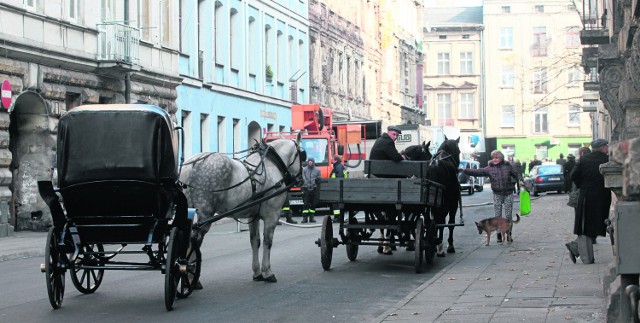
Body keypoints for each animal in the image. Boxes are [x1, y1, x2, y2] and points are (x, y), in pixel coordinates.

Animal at [178, 134, 302, 284]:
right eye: (303, 154)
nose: (301, 179)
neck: (270, 164)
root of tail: (192, 164)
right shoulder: (272, 215)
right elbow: (267, 242)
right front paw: (267, 272)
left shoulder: (253, 216)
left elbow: (255, 241)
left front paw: (257, 273)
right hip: (205, 214)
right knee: (195, 240)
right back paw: (191, 277)